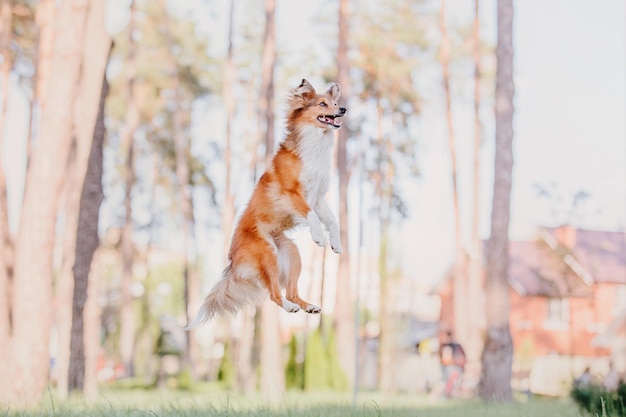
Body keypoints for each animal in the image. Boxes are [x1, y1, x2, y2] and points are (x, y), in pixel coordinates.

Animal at [185, 76, 346, 326]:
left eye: (334, 102)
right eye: (322, 104)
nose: (343, 109)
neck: (315, 141)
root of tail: (232, 260)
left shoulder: (318, 197)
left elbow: (332, 220)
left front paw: (335, 243)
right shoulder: (292, 193)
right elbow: (311, 215)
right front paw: (319, 236)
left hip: (291, 254)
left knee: (290, 291)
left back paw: (308, 307)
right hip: (268, 254)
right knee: (274, 294)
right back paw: (290, 307)